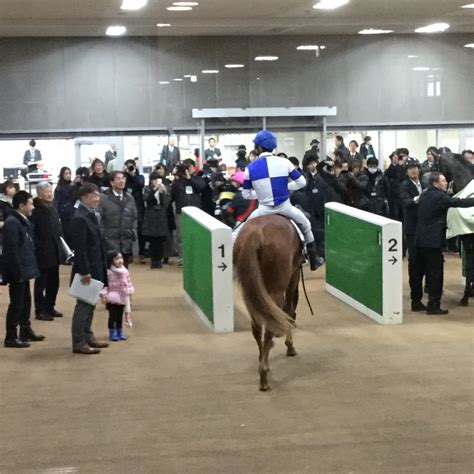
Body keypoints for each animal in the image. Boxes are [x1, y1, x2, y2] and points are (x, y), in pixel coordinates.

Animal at [233, 214, 304, 388]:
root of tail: (255, 235)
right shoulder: (294, 276)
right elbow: (289, 309)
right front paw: (290, 346)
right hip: (275, 289)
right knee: (270, 325)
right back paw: (264, 376)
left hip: (249, 291)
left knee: (257, 327)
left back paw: (262, 362)